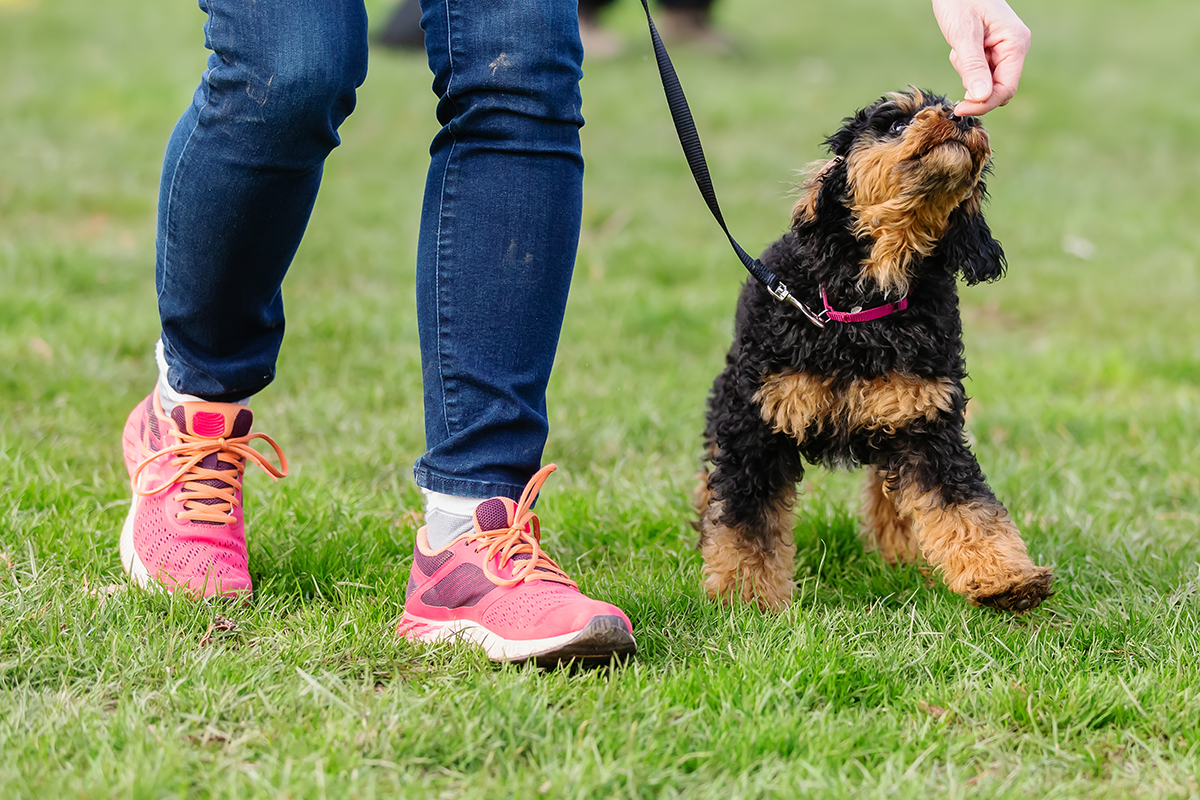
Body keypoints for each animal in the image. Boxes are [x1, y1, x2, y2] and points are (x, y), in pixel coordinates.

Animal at [696, 87, 1051, 614]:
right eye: (895, 124)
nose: (962, 117)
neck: (863, 308)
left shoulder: (925, 423)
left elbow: (965, 505)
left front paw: (1005, 578)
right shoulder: (757, 423)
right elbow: (746, 518)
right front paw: (745, 598)